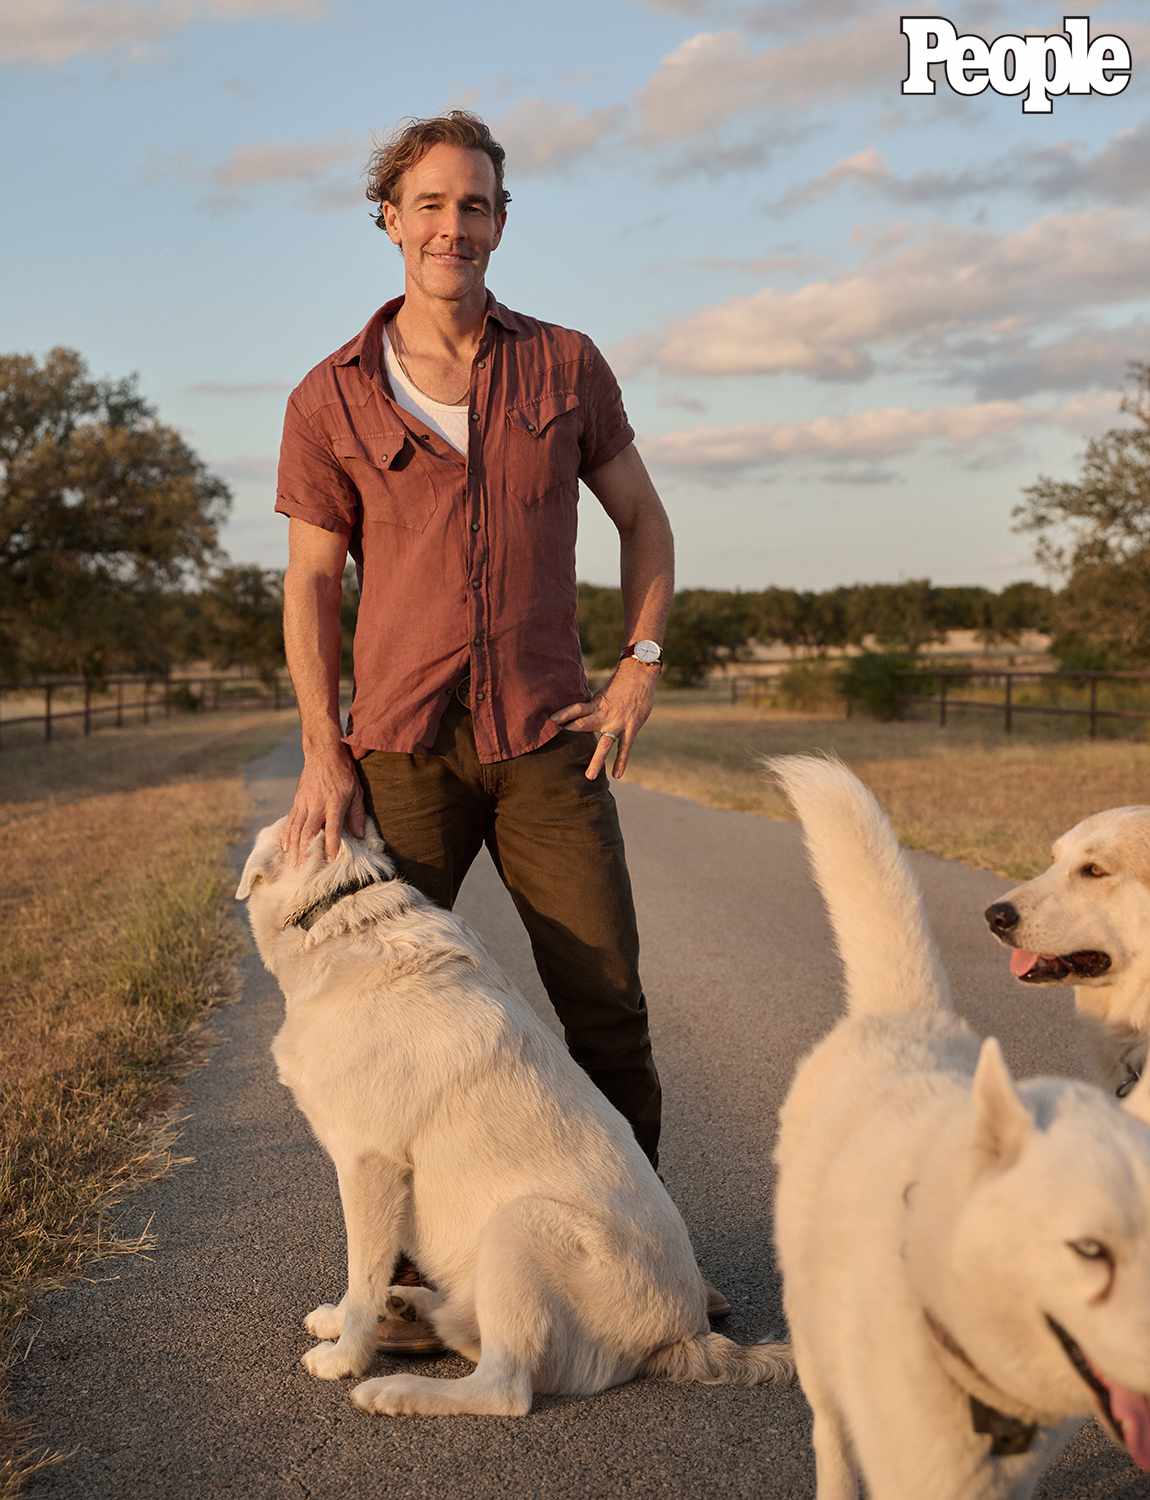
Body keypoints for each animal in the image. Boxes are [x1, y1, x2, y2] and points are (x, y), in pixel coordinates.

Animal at [233, 822, 791, 1416]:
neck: (343, 914)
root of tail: (686, 1333)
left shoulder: (371, 1166)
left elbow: (362, 1271)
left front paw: (345, 1355)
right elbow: (365, 1270)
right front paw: (344, 1319)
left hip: (520, 1224)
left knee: (505, 1388)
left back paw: (396, 1388)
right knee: (475, 1340)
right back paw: (414, 1305)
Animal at [767, 762, 1150, 1500]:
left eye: (1093, 870)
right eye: (1056, 857)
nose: (996, 916)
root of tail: (906, 1010)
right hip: (814, 1337)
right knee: (830, 1432)